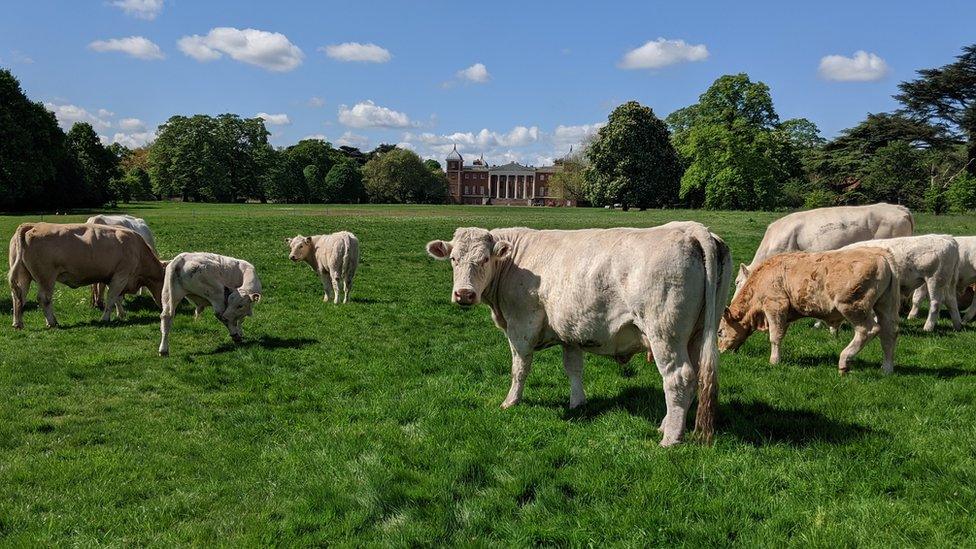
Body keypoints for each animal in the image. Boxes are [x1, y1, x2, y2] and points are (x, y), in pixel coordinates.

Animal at [8, 222, 165, 328]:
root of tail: (32, 225)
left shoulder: (113, 277)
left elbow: (117, 298)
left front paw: (121, 315)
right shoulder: (121, 275)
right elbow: (111, 298)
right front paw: (105, 318)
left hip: (24, 275)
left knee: (18, 296)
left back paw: (18, 323)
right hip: (46, 277)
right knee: (43, 298)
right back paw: (52, 322)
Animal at [428, 223, 732, 446]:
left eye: (485, 258)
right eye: (454, 259)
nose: (464, 294)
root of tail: (691, 228)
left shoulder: (521, 325)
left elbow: (519, 368)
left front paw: (510, 402)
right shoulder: (571, 330)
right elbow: (573, 369)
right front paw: (577, 403)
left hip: (664, 334)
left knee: (678, 378)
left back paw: (670, 439)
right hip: (697, 334)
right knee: (694, 378)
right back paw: (666, 425)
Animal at [716, 247, 900, 372]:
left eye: (719, 332)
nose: (720, 351)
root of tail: (880, 254)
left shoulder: (775, 305)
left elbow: (774, 337)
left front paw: (774, 361)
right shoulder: (785, 314)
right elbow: (780, 334)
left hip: (853, 306)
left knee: (868, 330)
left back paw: (844, 360)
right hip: (884, 305)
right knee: (889, 333)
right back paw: (886, 368)